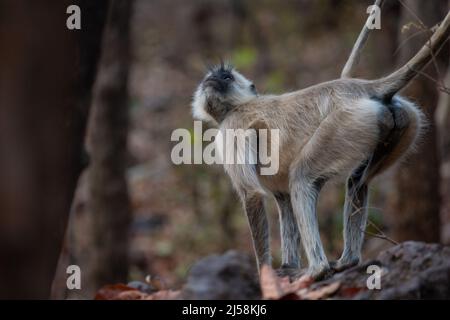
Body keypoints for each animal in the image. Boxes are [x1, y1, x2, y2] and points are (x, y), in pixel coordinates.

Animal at [192, 6, 450, 278]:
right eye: (216, 76)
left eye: (226, 77)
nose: (213, 78)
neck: (237, 106)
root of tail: (359, 87)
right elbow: (284, 201)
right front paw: (288, 266)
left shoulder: (232, 126)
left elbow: (252, 194)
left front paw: (266, 277)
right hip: (397, 119)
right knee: (358, 181)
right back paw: (347, 261)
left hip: (345, 122)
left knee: (302, 177)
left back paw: (317, 270)